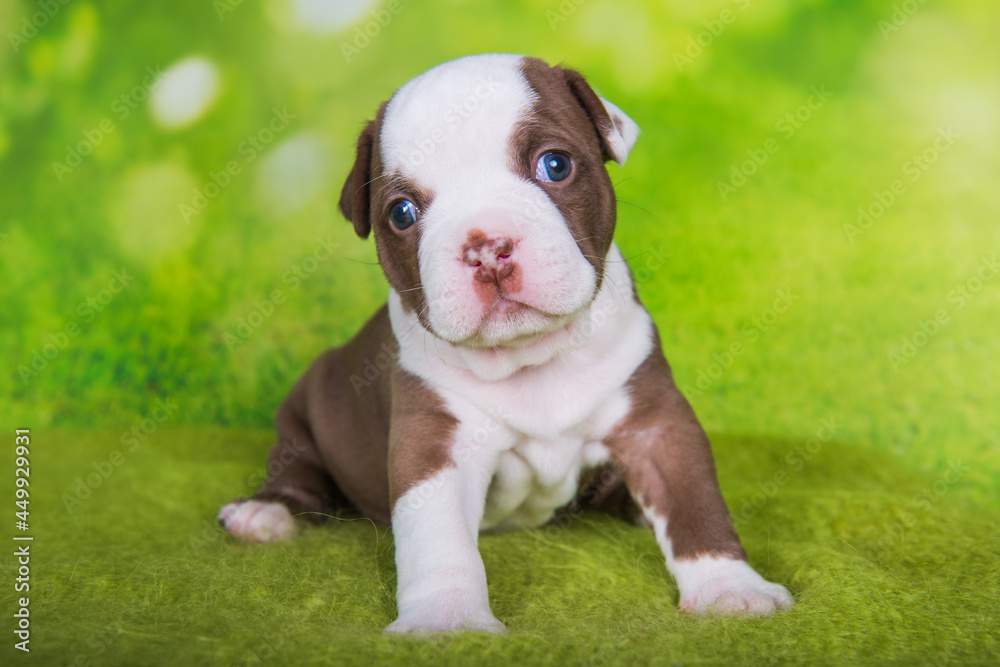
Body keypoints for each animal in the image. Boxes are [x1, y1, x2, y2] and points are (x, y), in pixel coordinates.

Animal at [221, 54, 796, 636]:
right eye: (402, 213)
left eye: (555, 165)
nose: (486, 247)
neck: (531, 357)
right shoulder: (435, 446)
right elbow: (439, 540)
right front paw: (447, 620)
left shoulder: (656, 424)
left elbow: (694, 501)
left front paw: (730, 588)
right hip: (305, 410)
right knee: (297, 471)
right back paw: (265, 512)